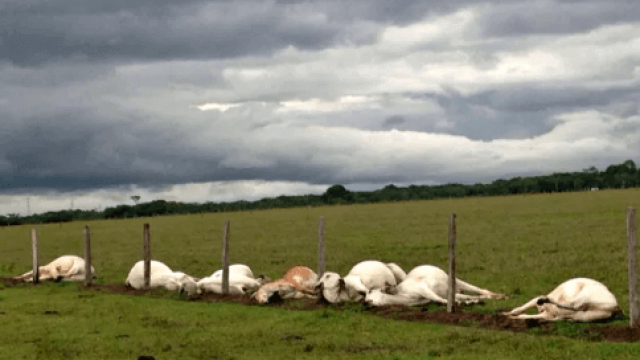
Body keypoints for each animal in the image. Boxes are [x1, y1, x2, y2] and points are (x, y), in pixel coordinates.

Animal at [368, 264, 508, 306]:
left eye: (371, 292)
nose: (365, 302)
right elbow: (440, 300)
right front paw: (466, 302)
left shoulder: (423, 288)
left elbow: (439, 299)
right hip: (450, 290)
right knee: (470, 296)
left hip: (454, 279)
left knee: (480, 290)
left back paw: (501, 296)